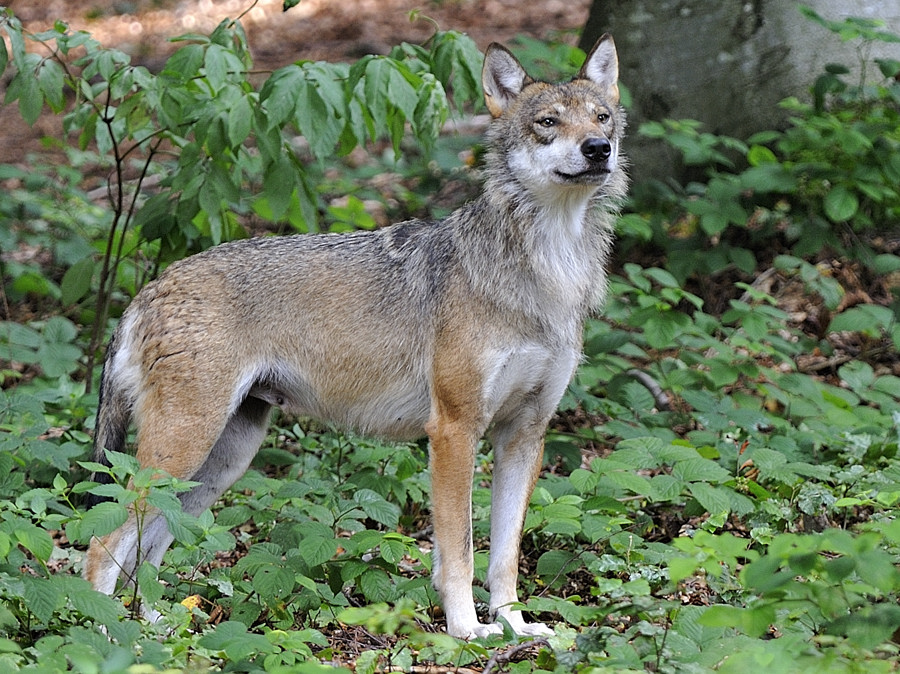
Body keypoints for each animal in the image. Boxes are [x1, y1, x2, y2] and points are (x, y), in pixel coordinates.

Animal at [83, 35, 626, 639]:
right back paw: (106, 635)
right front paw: (468, 634)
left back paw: (156, 631)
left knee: (149, 549)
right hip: (182, 451)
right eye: (548, 122)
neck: (549, 268)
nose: (599, 149)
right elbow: (459, 554)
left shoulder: (524, 435)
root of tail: (149, 288)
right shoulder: (454, 431)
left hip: (219, 463)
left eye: (601, 117)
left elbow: (504, 556)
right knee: (101, 543)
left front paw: (515, 627)